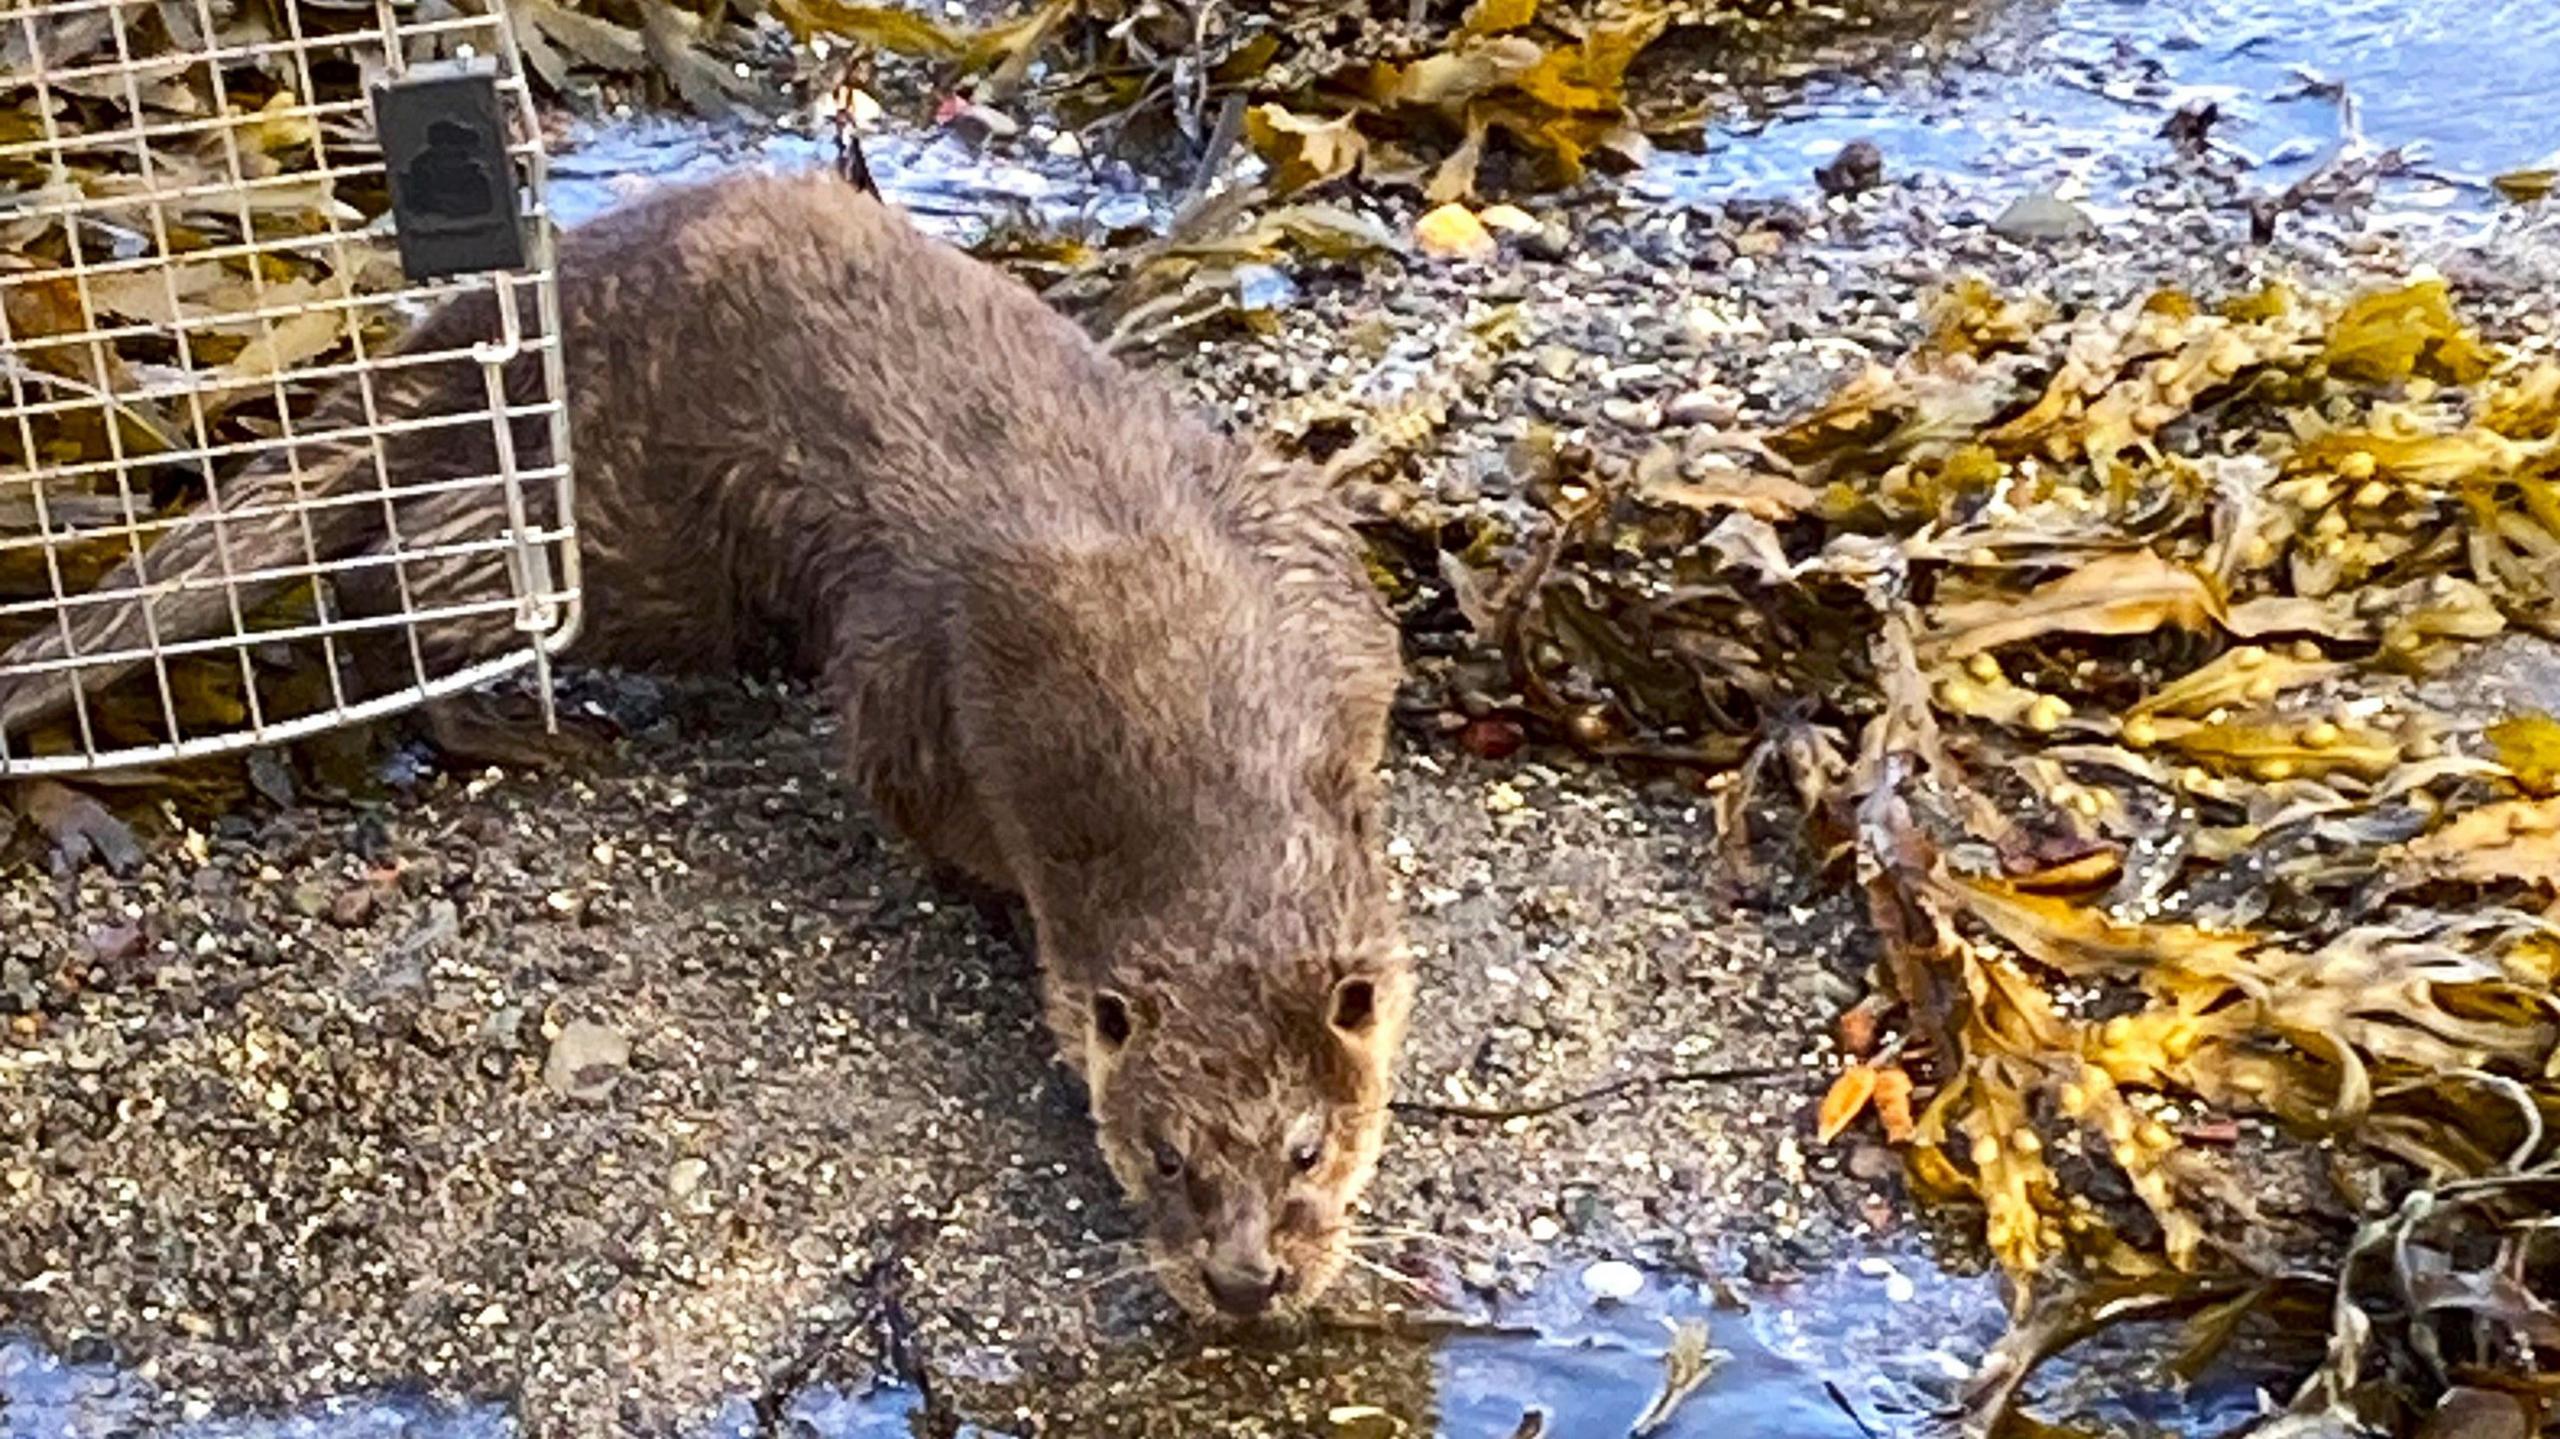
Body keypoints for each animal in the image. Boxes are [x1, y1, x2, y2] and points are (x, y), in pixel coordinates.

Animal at [0, 167, 1423, 1310]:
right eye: (1163, 1153)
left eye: (1306, 1145)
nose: (1243, 1278)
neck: (1170, 641)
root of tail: (509, 301)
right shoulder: (917, 686)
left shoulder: (1311, 568)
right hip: (645, 535)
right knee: (420, 570)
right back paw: (533, 728)